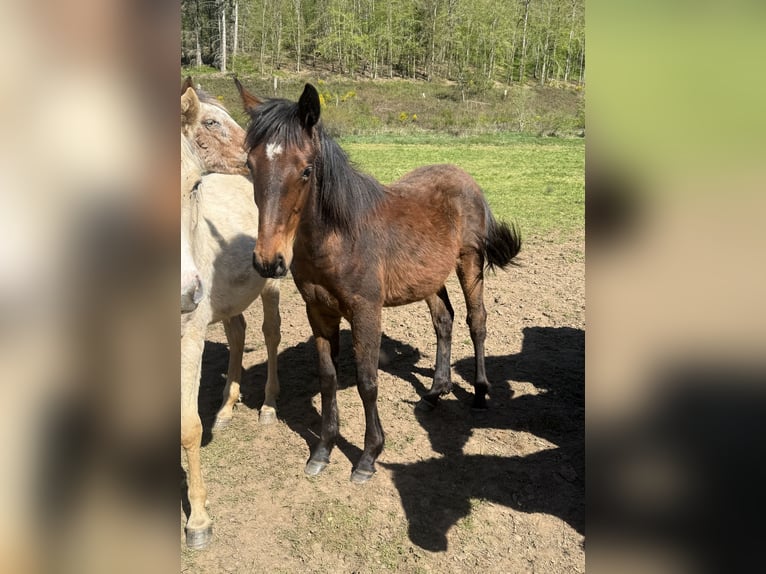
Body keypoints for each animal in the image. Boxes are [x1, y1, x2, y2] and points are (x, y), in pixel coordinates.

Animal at [235, 79, 521, 484]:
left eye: (306, 170)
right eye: (250, 164)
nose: (268, 261)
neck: (339, 237)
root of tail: (466, 179)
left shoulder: (365, 311)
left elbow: (368, 381)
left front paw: (368, 457)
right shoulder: (318, 312)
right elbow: (327, 378)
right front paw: (322, 451)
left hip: (470, 264)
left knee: (476, 321)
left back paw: (480, 394)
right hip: (429, 279)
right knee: (444, 321)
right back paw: (435, 392)